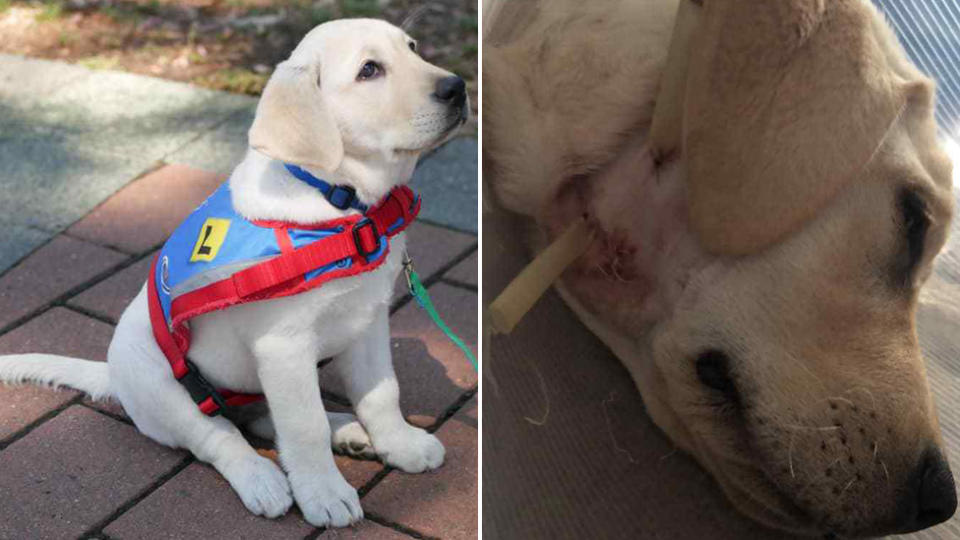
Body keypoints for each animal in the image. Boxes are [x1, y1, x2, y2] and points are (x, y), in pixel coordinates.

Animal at [0, 19, 468, 528]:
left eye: (414, 48)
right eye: (369, 70)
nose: (458, 87)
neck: (339, 201)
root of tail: (114, 377)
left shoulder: (368, 320)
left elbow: (381, 391)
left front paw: (400, 444)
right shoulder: (284, 346)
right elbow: (303, 426)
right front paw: (324, 493)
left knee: (263, 419)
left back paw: (346, 431)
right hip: (164, 390)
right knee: (220, 436)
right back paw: (263, 480)